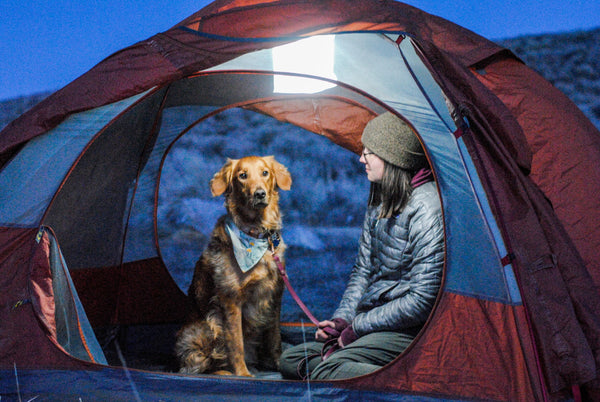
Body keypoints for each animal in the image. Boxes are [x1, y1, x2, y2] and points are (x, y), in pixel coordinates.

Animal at [175, 155, 292, 376]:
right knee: (200, 364)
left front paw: (280, 364)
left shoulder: (275, 295)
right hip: (205, 326)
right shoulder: (231, 300)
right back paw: (224, 372)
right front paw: (243, 374)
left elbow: (275, 339)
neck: (256, 234)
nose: (259, 194)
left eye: (265, 173)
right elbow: (236, 342)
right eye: (242, 176)